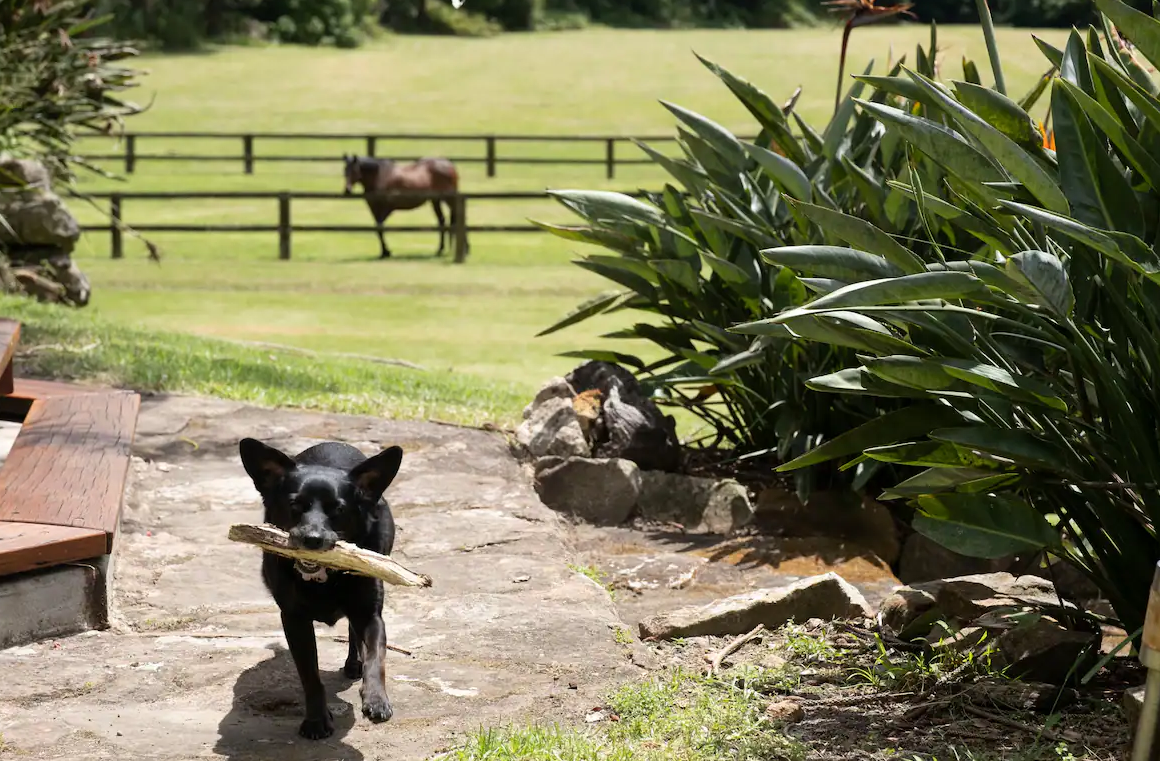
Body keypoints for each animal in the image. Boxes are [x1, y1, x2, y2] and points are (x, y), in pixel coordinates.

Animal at [237, 436, 406, 742]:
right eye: (295, 504)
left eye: (338, 509)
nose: (312, 539)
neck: (323, 578)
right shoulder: (294, 620)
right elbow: (310, 676)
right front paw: (316, 721)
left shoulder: (370, 615)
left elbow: (376, 658)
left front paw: (376, 699)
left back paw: (354, 665)